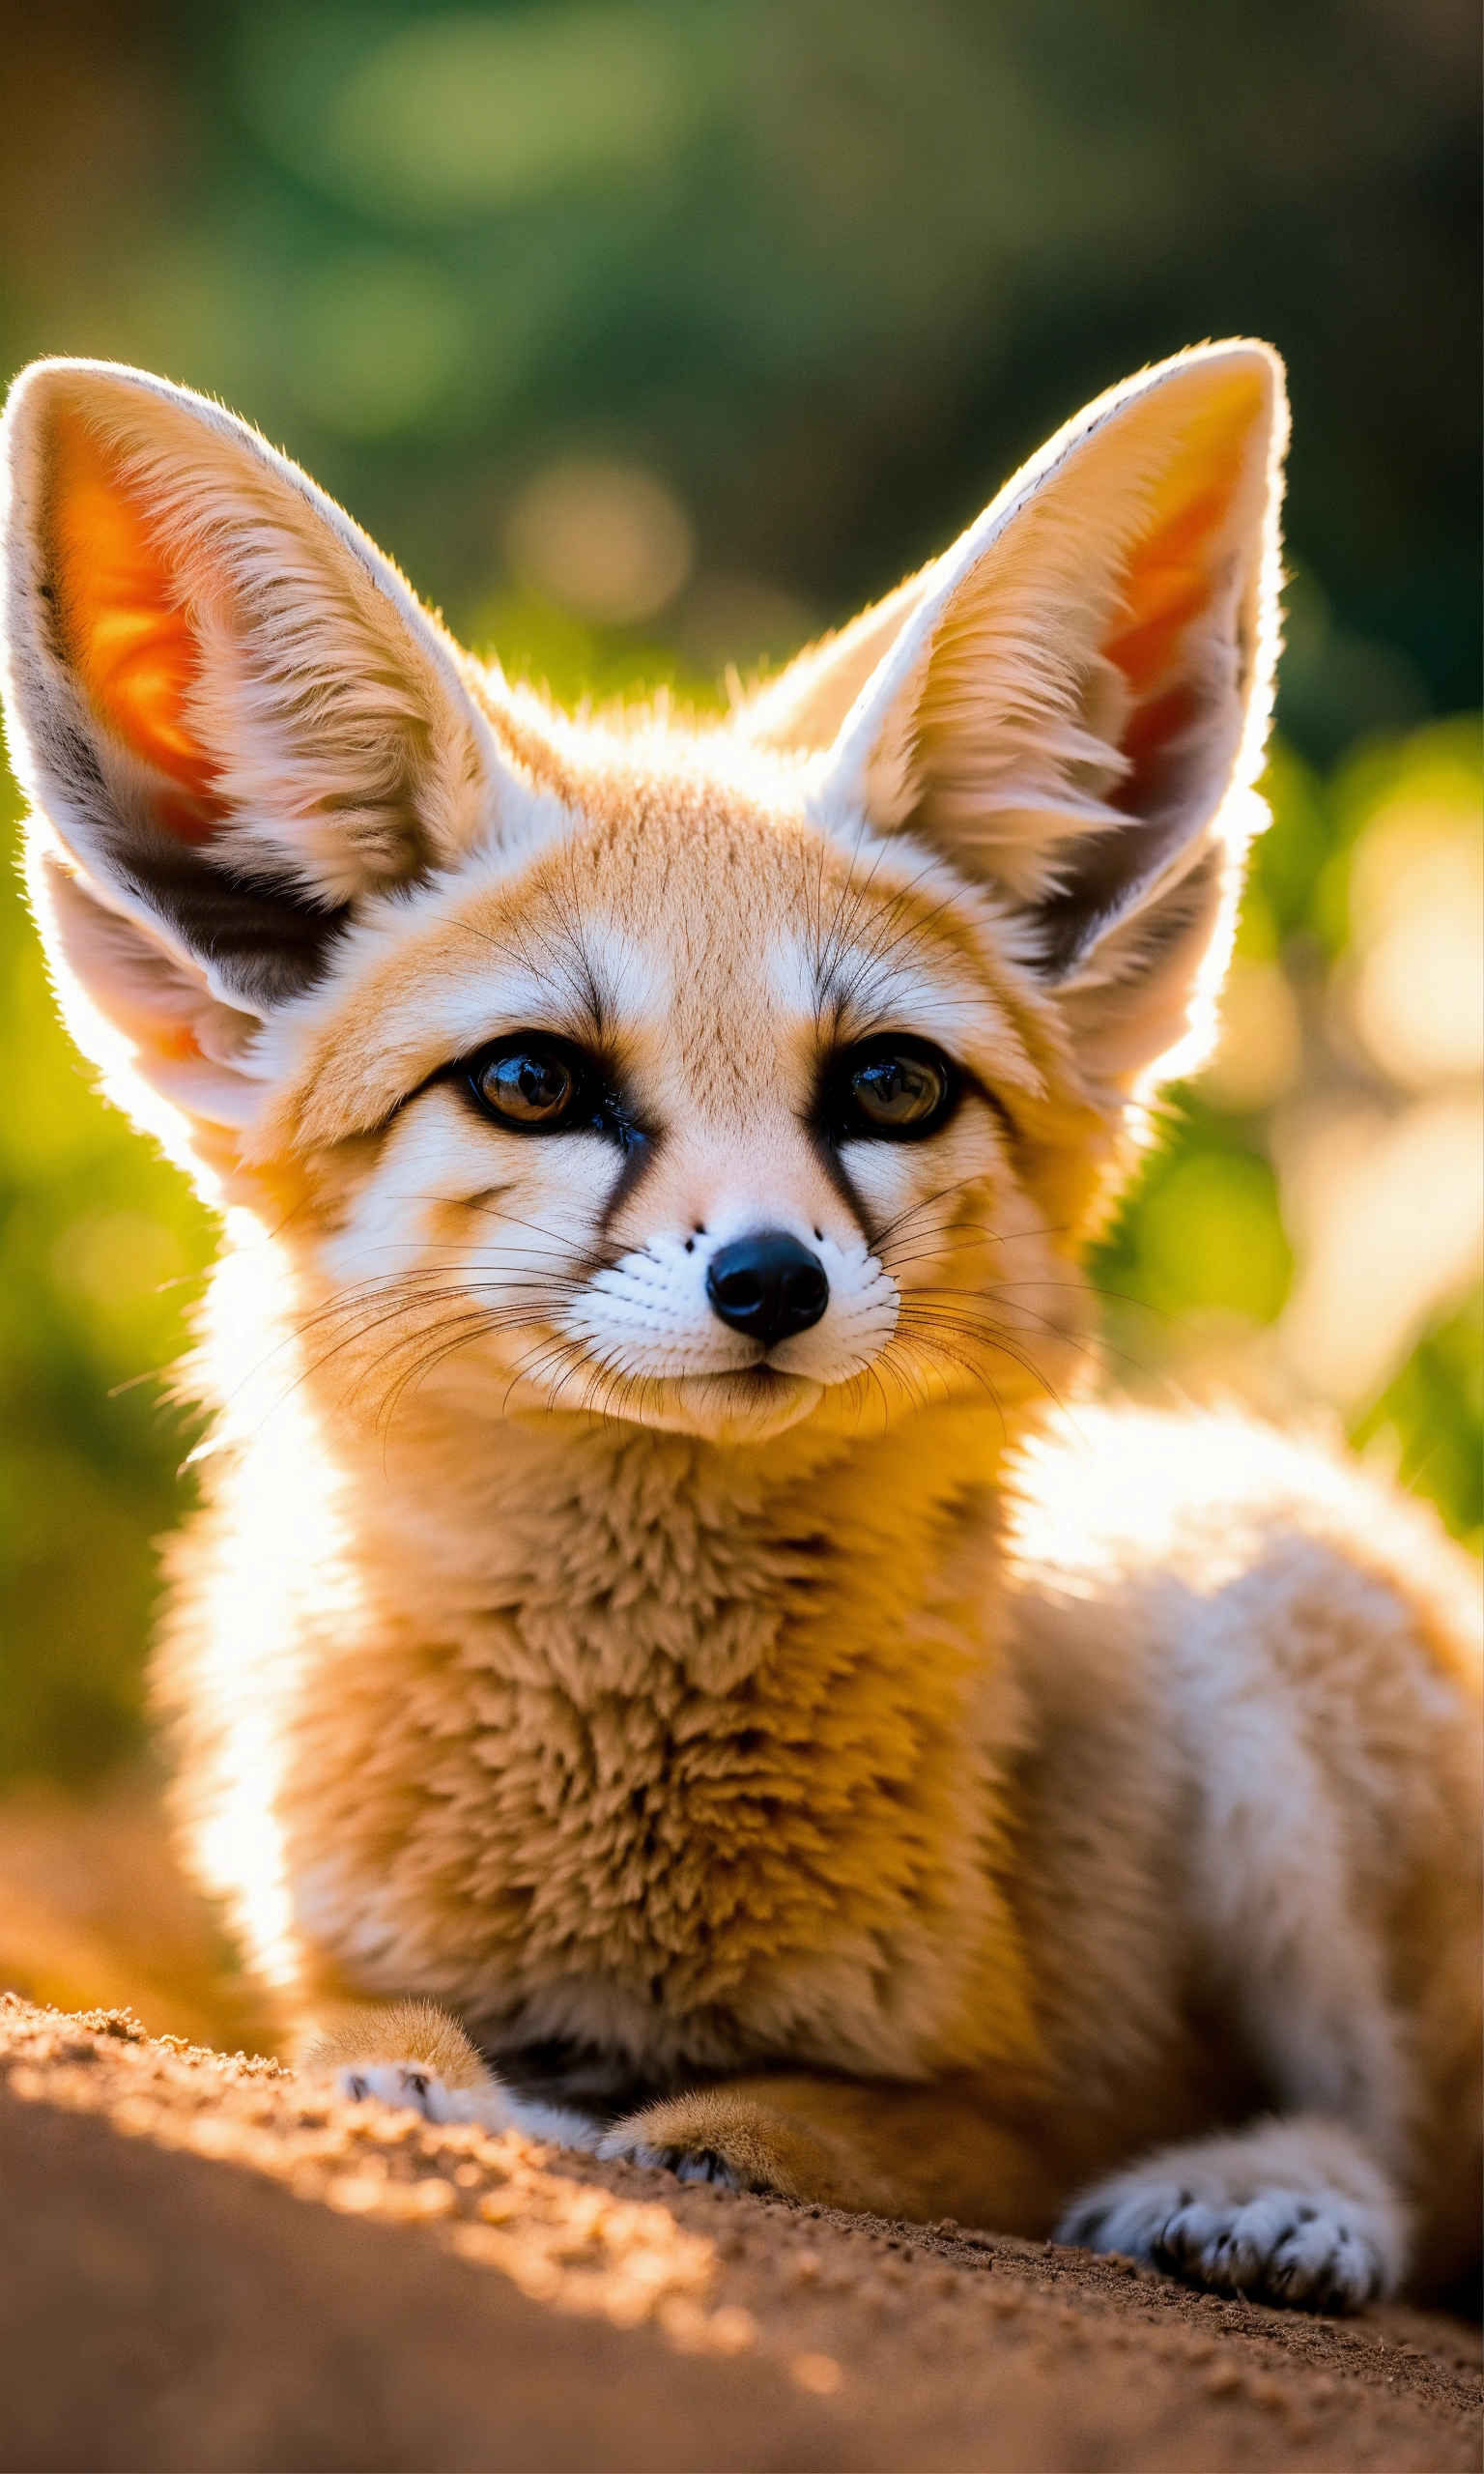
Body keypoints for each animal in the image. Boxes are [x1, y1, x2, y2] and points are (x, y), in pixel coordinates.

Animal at [1, 341, 1478, 2313]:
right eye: (534, 1081)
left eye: (892, 1086)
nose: (772, 1280)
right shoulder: (333, 1959)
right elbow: (374, 2046)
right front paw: (468, 2095)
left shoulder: (1017, 2098)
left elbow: (825, 2128)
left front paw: (680, 2131)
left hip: (1274, 1650)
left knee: (1408, 2150)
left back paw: (1270, 2198)